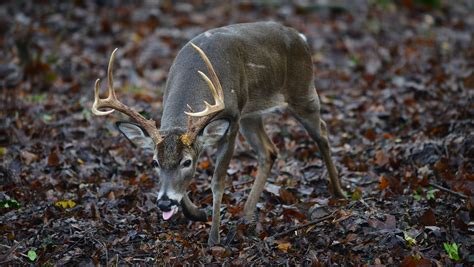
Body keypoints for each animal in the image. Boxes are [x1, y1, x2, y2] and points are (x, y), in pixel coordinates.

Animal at [92, 21, 344, 247]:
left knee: (322, 132)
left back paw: (339, 192)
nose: (164, 203)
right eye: (154, 162)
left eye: (187, 162)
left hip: (302, 92)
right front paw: (197, 213)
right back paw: (246, 215)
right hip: (251, 114)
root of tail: (300, 37)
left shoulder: (231, 124)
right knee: (269, 151)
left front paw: (214, 238)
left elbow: (217, 181)